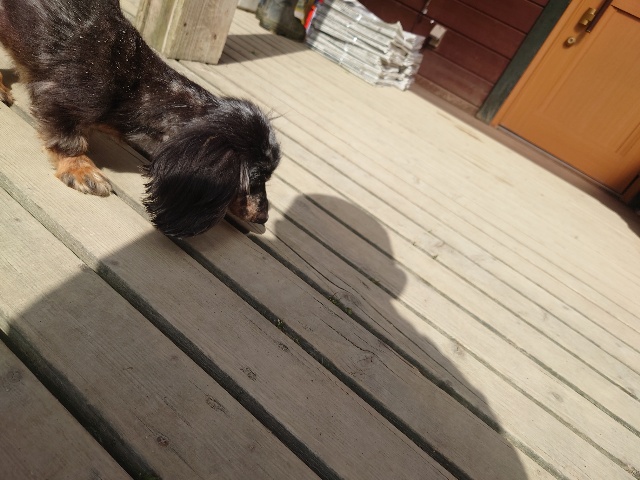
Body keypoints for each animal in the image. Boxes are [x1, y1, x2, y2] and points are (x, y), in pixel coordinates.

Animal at [0, 0, 281, 237]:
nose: (263, 218)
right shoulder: (59, 98)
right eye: (255, 179)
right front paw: (80, 169)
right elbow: (68, 139)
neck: (136, 88)